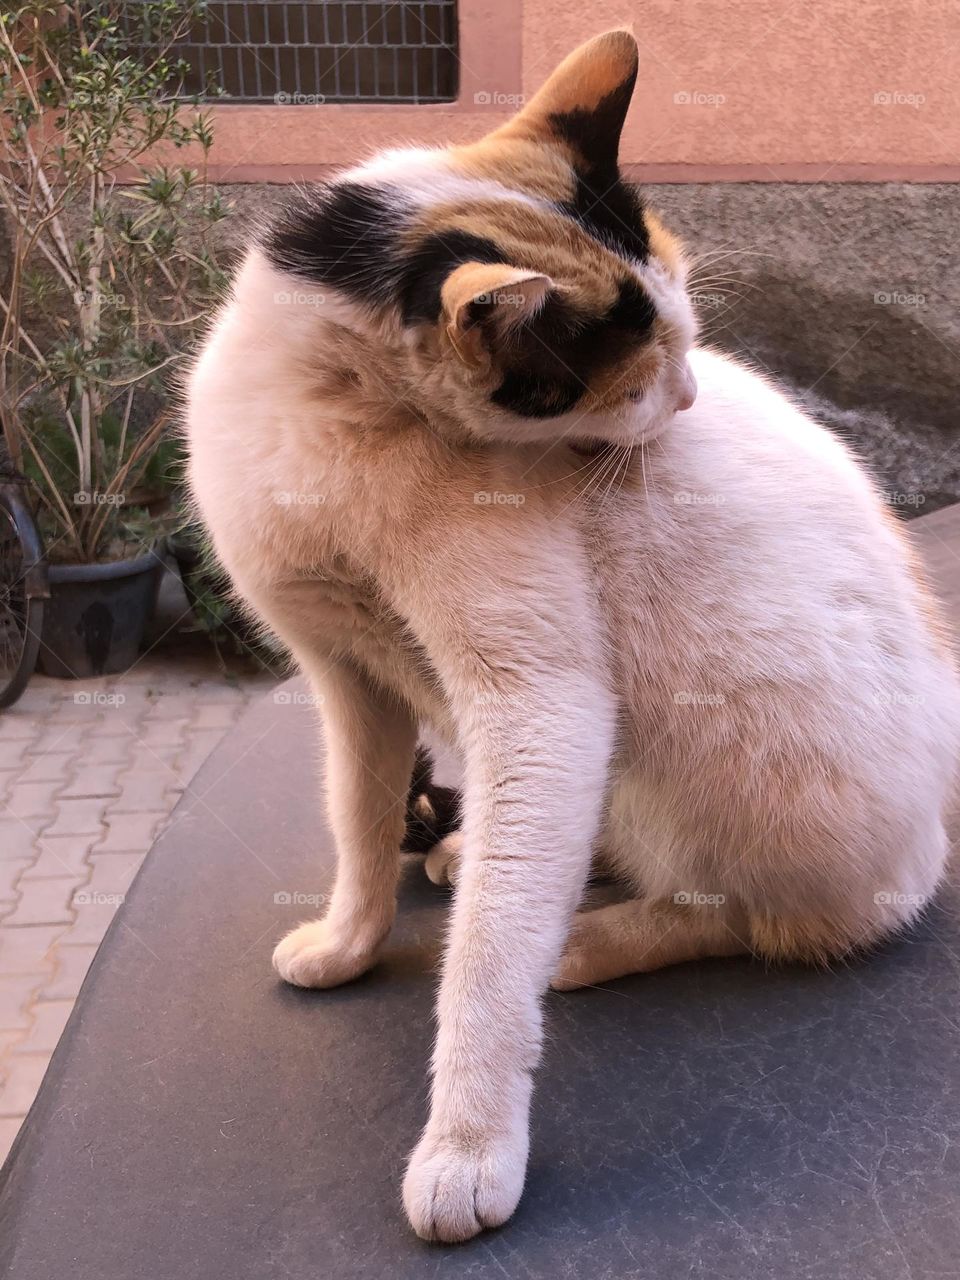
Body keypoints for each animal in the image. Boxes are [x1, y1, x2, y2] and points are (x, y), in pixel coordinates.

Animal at [185, 32, 960, 1239]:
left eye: (688, 347)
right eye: (639, 382)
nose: (686, 401)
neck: (336, 414)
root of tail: (936, 827)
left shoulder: (539, 704)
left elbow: (488, 960)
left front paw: (467, 1146)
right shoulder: (349, 677)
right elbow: (357, 823)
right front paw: (349, 940)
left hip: (690, 762)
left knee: (761, 913)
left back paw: (588, 939)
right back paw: (476, 854)